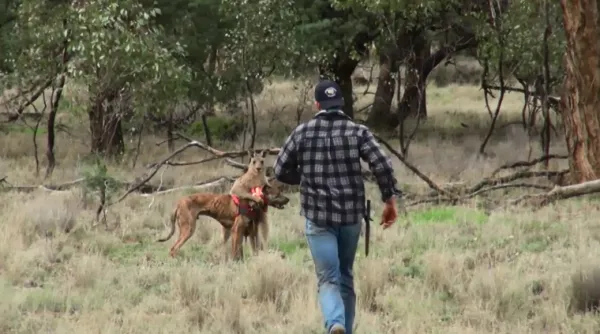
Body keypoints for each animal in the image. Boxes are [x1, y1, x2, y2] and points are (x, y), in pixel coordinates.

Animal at [157, 179, 288, 260]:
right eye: (278, 194)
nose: (288, 199)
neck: (252, 201)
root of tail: (179, 203)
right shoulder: (237, 230)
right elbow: (235, 252)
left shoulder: (250, 232)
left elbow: (249, 251)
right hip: (188, 229)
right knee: (173, 248)